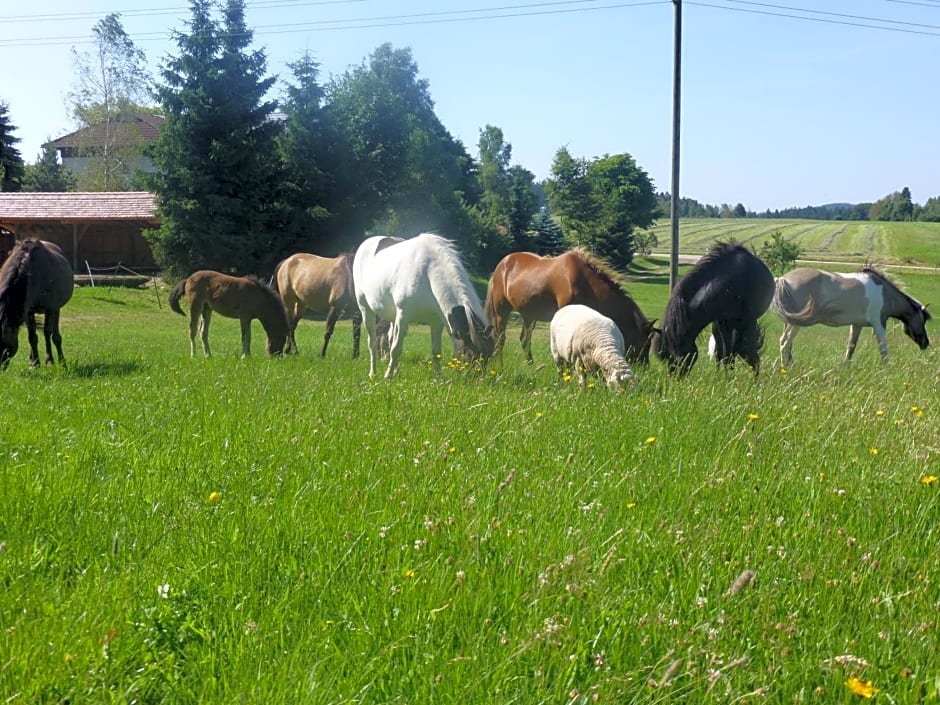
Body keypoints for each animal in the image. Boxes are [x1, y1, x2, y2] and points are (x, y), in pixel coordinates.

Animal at [0, 238, 74, 368]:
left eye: (5, 346)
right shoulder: (28, 310)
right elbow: (32, 337)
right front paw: (35, 363)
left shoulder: (51, 309)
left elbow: (48, 333)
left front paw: (50, 361)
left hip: (56, 310)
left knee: (54, 335)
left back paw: (60, 360)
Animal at [352, 232, 496, 376]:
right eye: (470, 355)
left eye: (489, 355)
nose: (476, 379)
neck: (427, 273)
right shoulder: (403, 316)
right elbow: (396, 349)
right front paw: (387, 377)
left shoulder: (436, 321)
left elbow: (436, 353)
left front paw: (438, 378)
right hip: (365, 308)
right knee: (372, 341)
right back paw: (373, 374)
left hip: (393, 316)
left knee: (390, 338)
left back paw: (395, 371)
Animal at [484, 249, 652, 364]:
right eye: (645, 344)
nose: (644, 367)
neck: (585, 282)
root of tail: (501, 266)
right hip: (501, 311)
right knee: (500, 338)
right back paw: (499, 364)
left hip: (529, 316)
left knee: (524, 339)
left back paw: (531, 365)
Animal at [648, 241, 776, 374]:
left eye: (677, 356)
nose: (675, 376)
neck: (729, 285)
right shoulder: (722, 323)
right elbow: (724, 354)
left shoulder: (744, 322)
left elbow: (744, 353)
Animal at [772, 264, 932, 364]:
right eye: (922, 320)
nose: (926, 343)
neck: (885, 293)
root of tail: (783, 279)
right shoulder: (879, 324)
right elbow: (883, 349)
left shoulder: (857, 325)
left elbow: (851, 348)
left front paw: (845, 366)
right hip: (796, 323)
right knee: (785, 344)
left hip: (789, 322)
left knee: (785, 343)